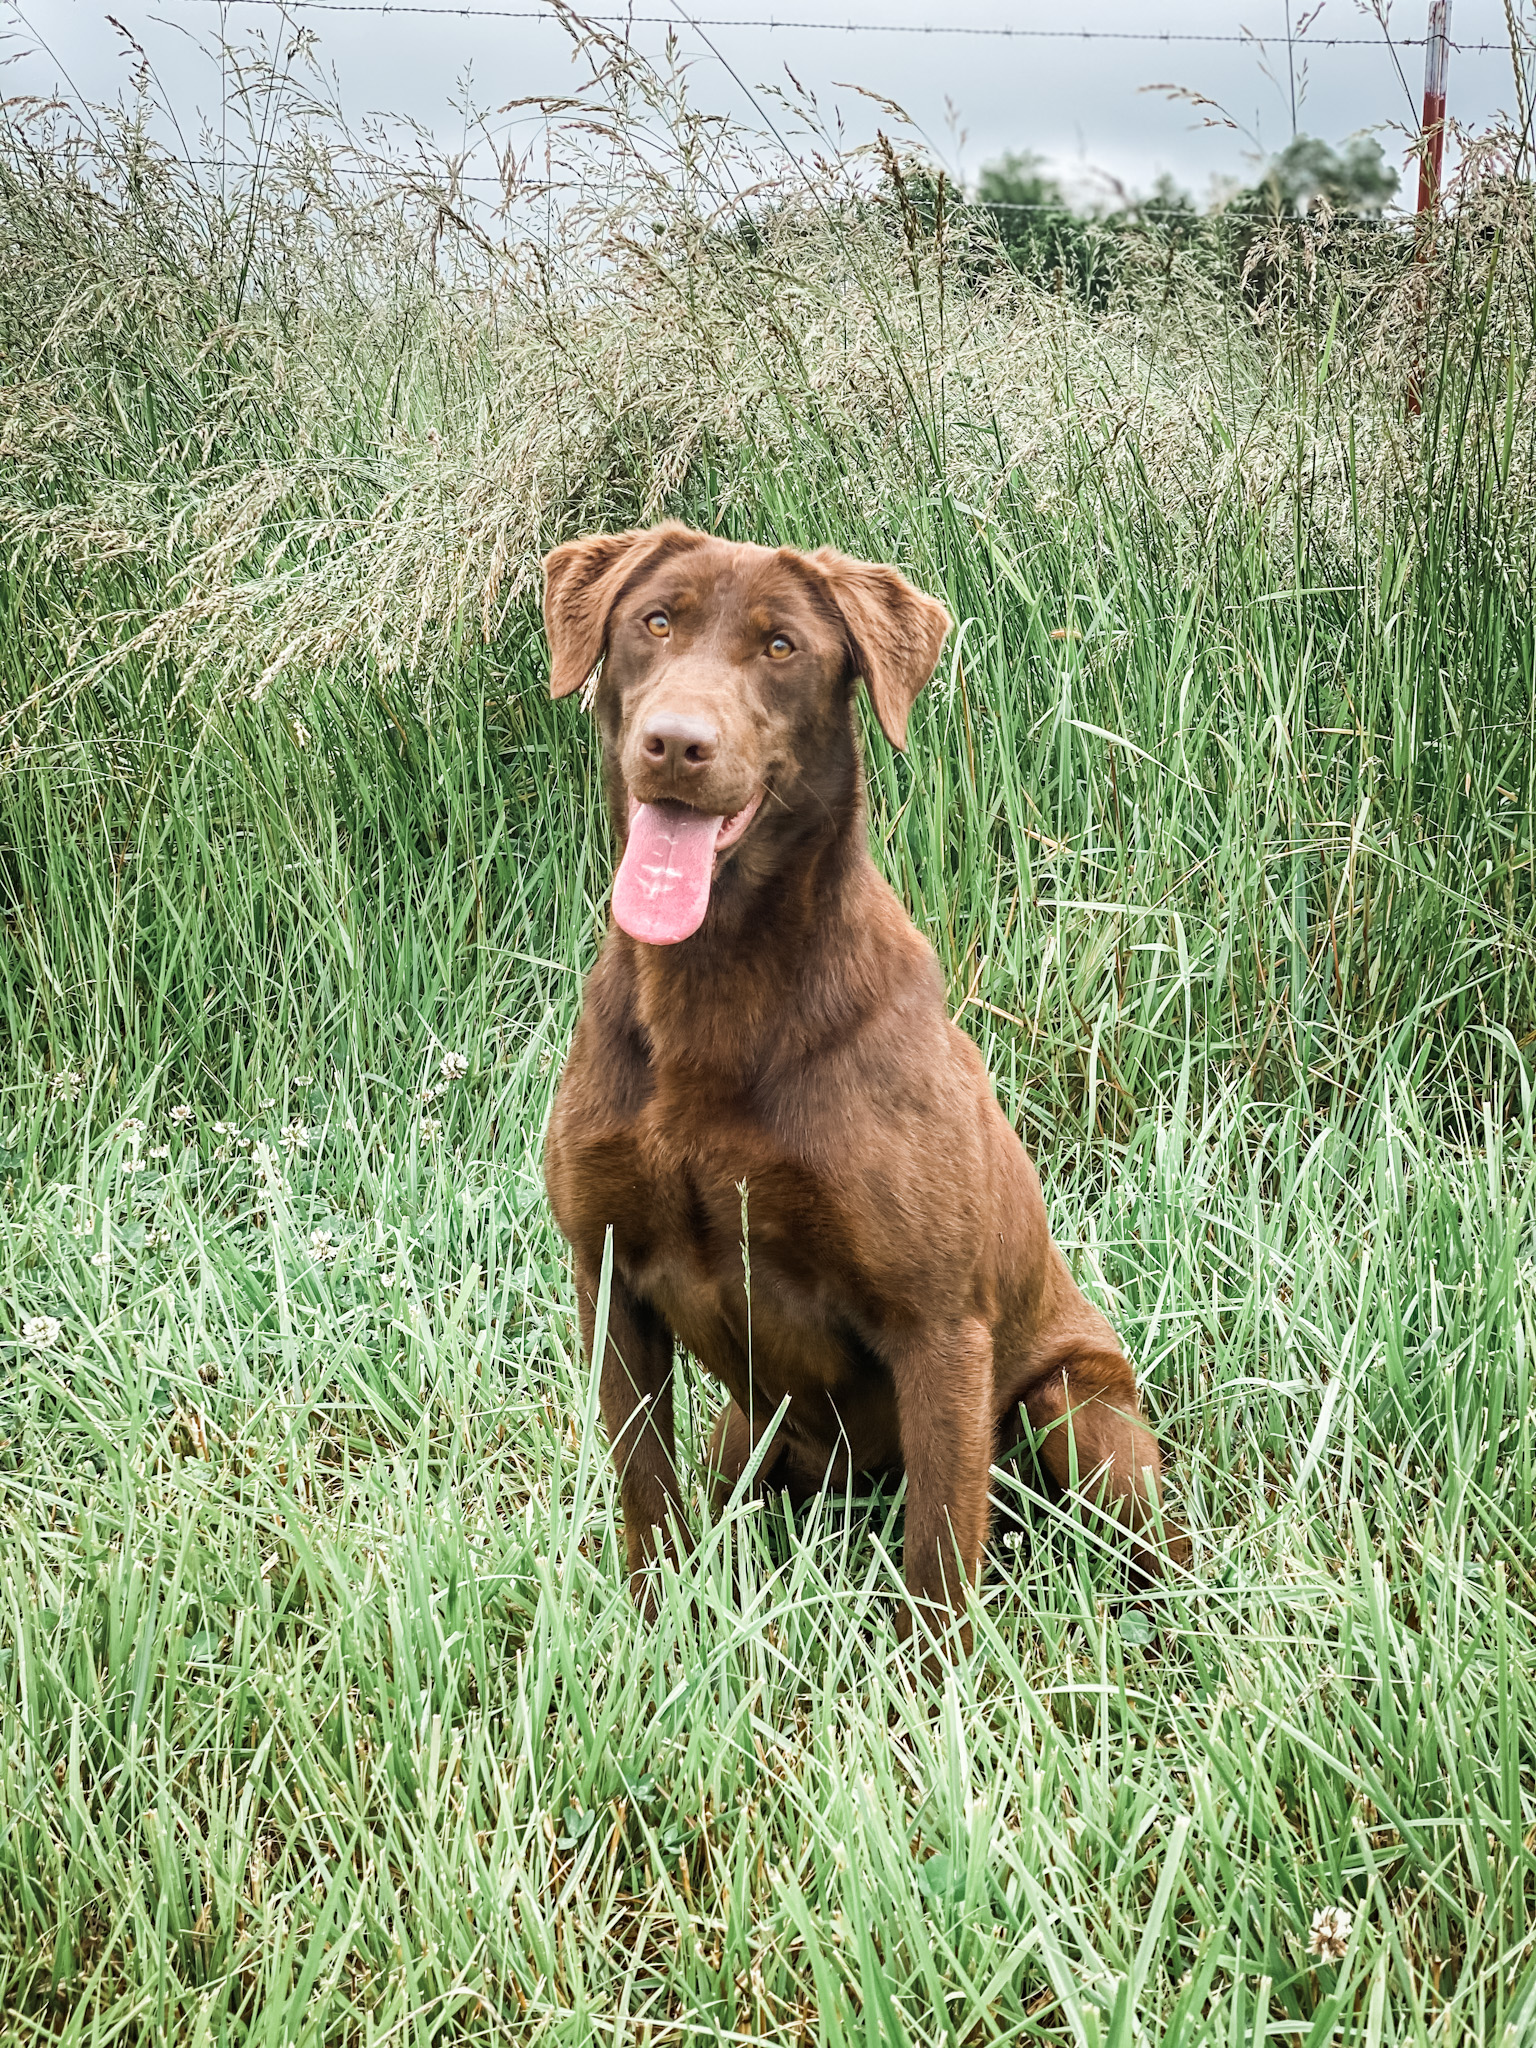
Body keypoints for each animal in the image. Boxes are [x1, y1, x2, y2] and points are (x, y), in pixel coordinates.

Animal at [540, 524, 1179, 1646]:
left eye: (781, 647)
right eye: (653, 621)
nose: (675, 743)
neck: (716, 987)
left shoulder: (941, 1329)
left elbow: (937, 1563)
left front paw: (938, 1690)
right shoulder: (610, 1280)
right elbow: (647, 1499)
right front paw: (657, 1644)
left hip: (1082, 1411)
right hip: (742, 1433)